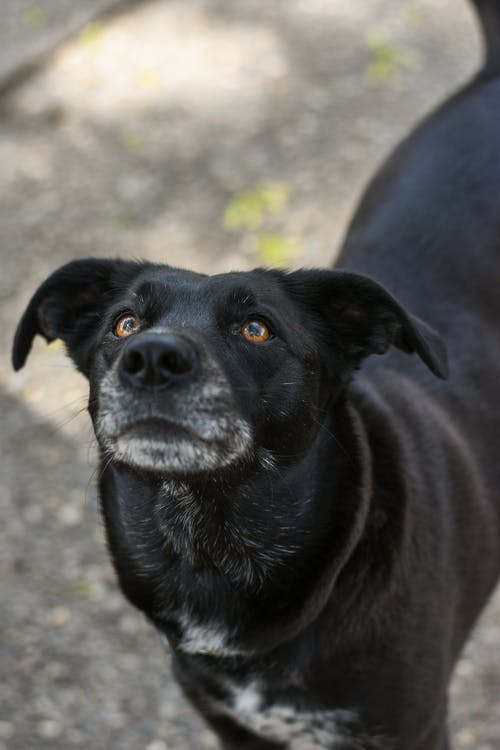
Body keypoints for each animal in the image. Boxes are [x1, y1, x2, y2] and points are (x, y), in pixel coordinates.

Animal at [10, 1, 500, 750]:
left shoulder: (410, 728)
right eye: (123, 324)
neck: (214, 549)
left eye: (257, 328)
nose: (152, 357)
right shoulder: (232, 726)